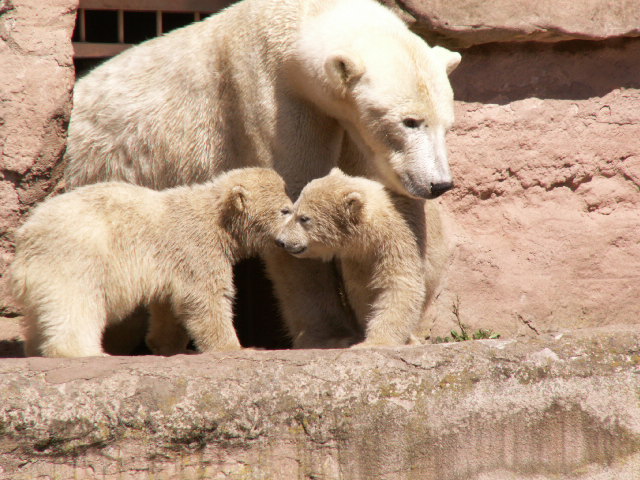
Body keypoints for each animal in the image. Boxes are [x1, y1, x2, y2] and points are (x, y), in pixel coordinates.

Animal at [66, 0, 460, 346]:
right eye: (409, 121)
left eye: (447, 124)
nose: (439, 184)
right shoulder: (269, 96)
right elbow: (295, 189)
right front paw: (331, 335)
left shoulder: (353, 130)